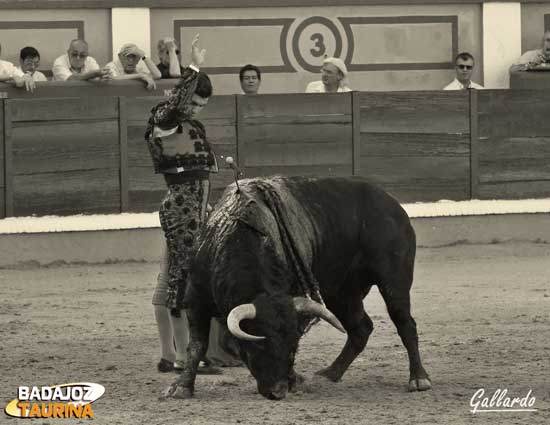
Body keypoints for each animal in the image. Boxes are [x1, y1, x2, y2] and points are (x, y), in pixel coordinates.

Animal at [166, 175, 434, 398]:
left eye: (293, 346)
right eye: (259, 343)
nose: (278, 391)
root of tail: (392, 204)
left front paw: (295, 380)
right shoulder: (196, 301)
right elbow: (196, 345)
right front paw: (181, 387)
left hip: (394, 280)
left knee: (405, 323)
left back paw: (419, 379)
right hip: (342, 293)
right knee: (361, 328)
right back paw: (331, 373)